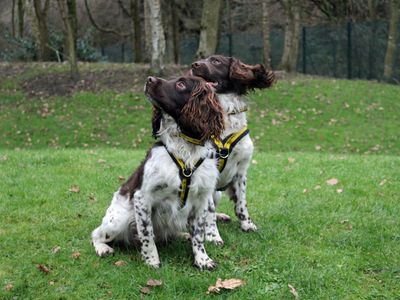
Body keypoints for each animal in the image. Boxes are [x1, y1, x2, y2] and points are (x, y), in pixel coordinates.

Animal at [91, 75, 225, 270]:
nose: (149, 79)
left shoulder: (202, 199)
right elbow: (147, 235)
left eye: (180, 84)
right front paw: (152, 261)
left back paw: (183, 235)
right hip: (118, 220)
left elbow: (199, 235)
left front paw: (202, 260)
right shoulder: (142, 198)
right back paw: (103, 248)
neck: (185, 151)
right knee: (96, 234)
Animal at [191, 54, 276, 244]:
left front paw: (247, 225)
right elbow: (209, 210)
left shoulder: (241, 171)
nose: (193, 64)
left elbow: (241, 203)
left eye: (216, 61)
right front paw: (212, 235)